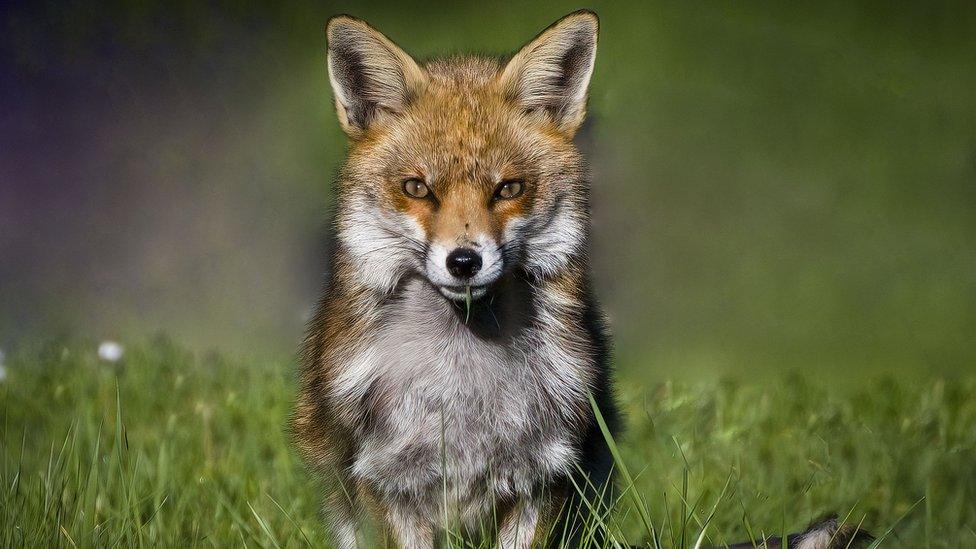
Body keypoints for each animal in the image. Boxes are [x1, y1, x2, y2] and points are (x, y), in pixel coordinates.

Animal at [294, 8, 872, 548]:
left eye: (509, 189)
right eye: (417, 188)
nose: (464, 261)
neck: (462, 384)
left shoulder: (545, 475)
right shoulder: (382, 480)